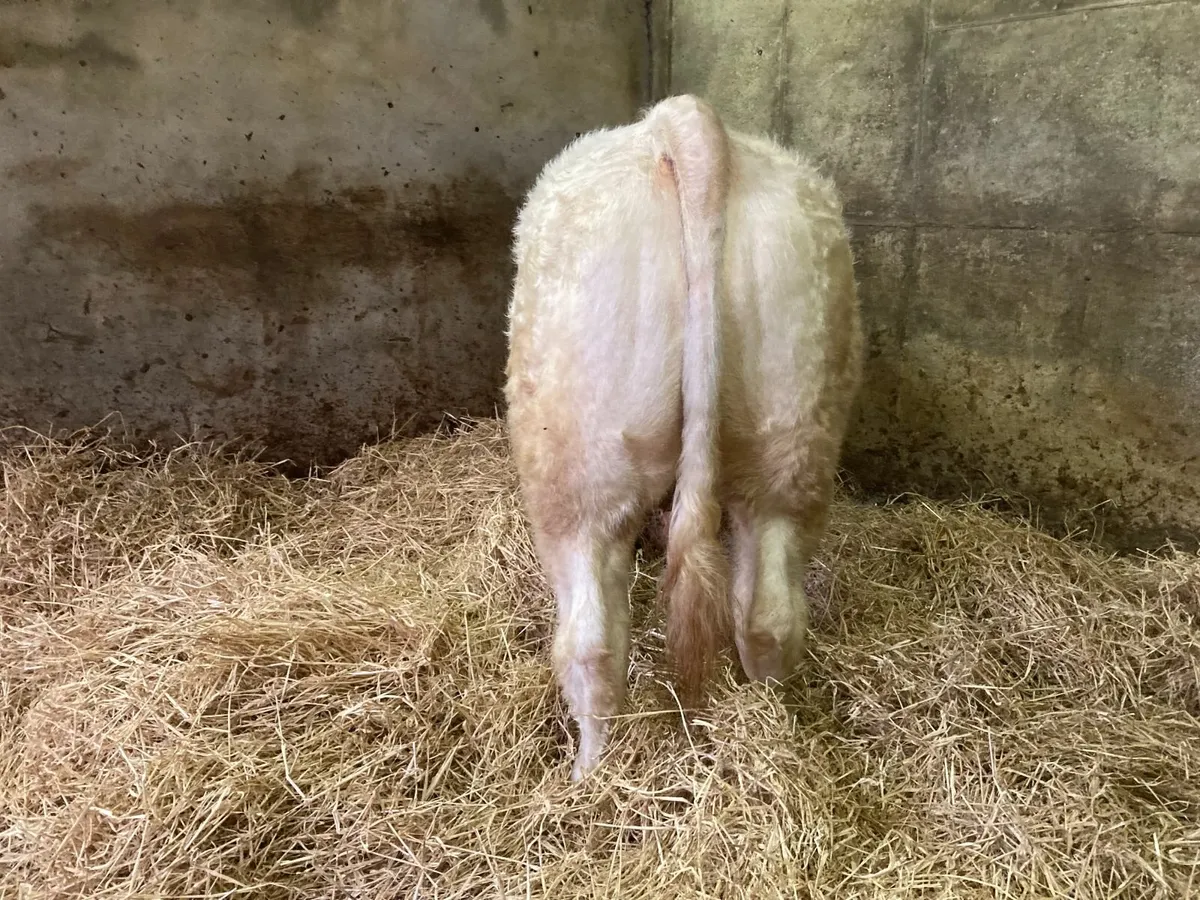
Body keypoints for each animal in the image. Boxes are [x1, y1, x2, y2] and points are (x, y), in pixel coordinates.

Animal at [504, 94, 863, 780]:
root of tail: (686, 122)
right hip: (791, 437)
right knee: (769, 615)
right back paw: (769, 736)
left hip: (577, 466)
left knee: (591, 645)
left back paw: (587, 778)